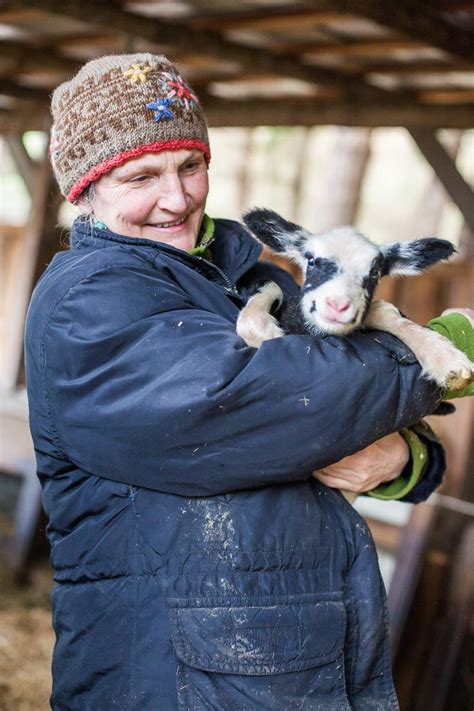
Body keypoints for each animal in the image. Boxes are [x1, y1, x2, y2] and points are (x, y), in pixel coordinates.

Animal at [237, 209, 474, 392]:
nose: (337, 306)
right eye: (311, 260)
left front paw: (444, 358)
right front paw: (264, 331)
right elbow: (271, 286)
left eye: (375, 273)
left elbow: (385, 313)